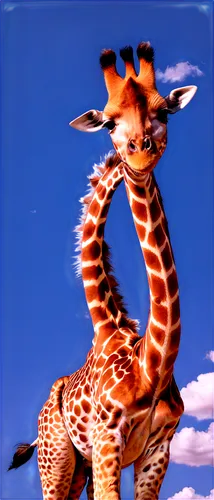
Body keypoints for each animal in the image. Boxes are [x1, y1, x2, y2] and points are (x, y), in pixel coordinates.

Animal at [8, 44, 198, 500]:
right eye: (109, 122)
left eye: (165, 112)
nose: (139, 151)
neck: (151, 368)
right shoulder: (107, 437)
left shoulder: (158, 447)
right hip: (57, 460)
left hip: (81, 467)